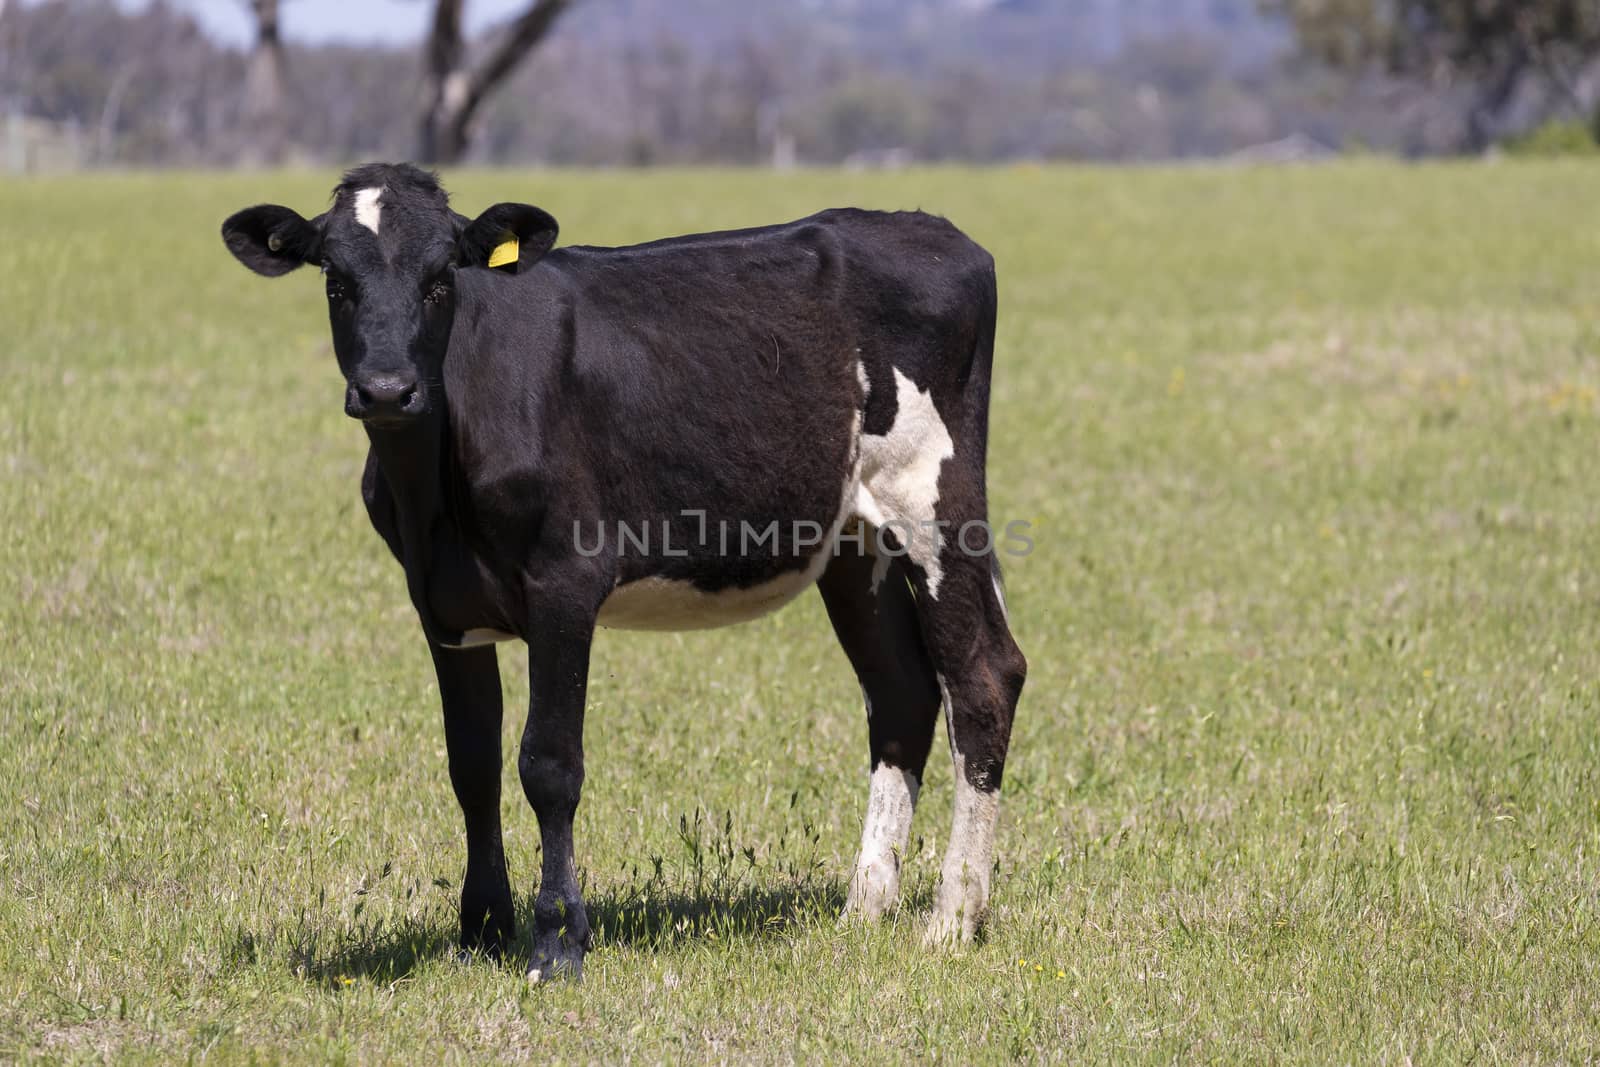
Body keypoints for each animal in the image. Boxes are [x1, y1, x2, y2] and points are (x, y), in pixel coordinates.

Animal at [222, 163, 1024, 979]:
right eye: (335, 280)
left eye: (441, 278)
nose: (387, 389)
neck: (434, 497)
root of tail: (928, 227)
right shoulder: (442, 604)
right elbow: (471, 765)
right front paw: (481, 930)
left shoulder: (564, 582)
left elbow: (549, 764)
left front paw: (555, 940)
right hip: (854, 540)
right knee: (900, 692)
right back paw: (865, 908)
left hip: (933, 502)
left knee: (983, 677)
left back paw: (952, 915)